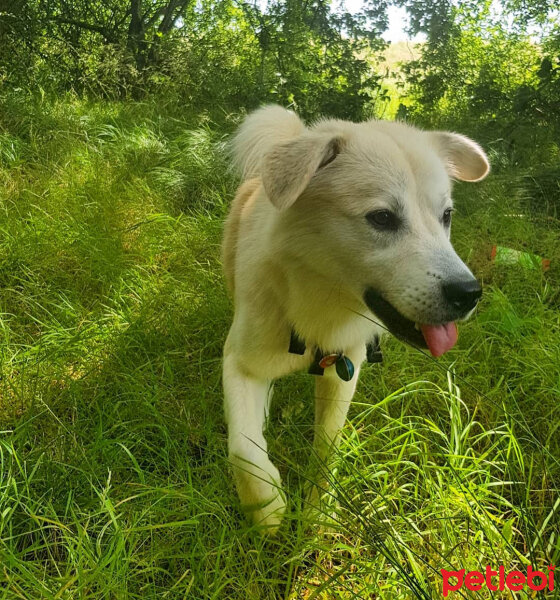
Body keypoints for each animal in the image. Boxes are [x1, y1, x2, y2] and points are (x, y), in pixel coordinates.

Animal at [221, 104, 488, 528]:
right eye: (382, 218)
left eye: (446, 215)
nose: (469, 293)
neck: (318, 301)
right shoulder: (241, 363)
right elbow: (243, 447)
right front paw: (267, 508)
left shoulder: (343, 371)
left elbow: (328, 447)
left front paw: (318, 515)